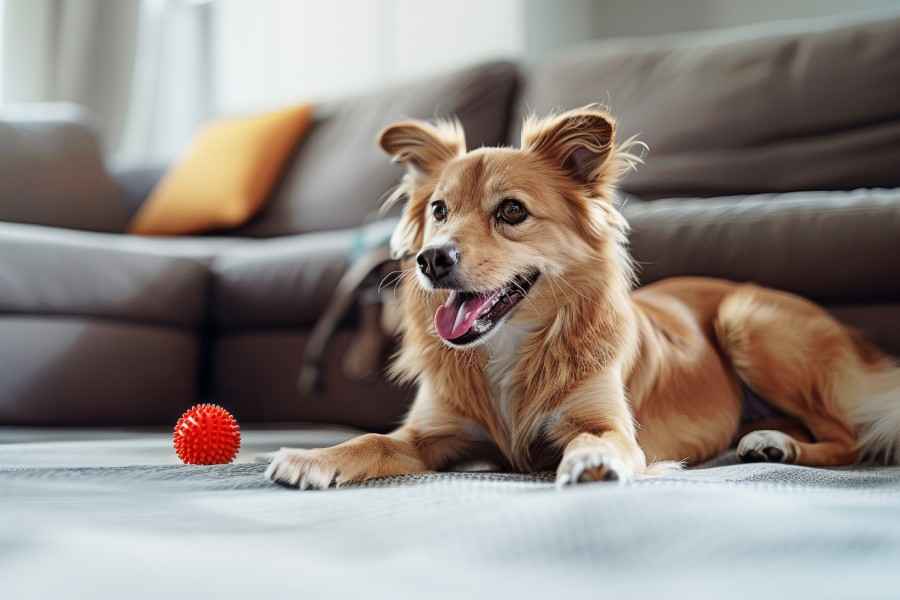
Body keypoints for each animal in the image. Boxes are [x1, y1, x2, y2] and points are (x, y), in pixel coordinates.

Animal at [266, 106, 900, 488]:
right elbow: (373, 439)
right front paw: (316, 457)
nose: (432, 259)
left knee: (847, 439)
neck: (511, 349)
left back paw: (775, 445)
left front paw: (592, 459)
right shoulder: (429, 435)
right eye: (440, 210)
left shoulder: (609, 422)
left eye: (512, 212)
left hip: (747, 320)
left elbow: (601, 439)